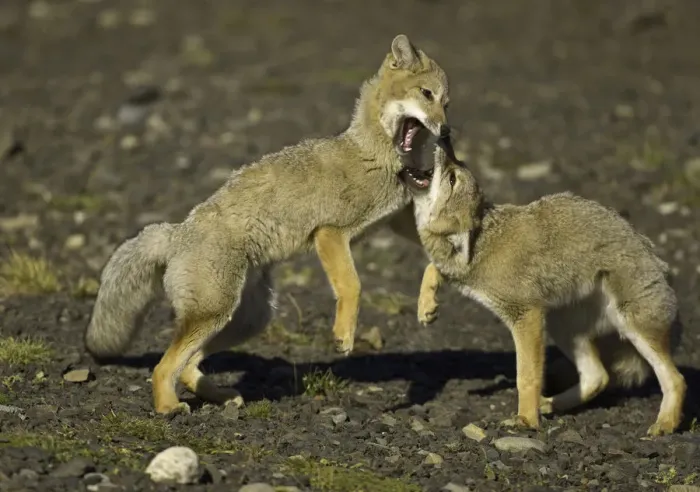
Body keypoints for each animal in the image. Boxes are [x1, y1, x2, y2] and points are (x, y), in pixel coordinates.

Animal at [83, 34, 451, 416]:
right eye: (426, 94)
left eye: (447, 103)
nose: (446, 130)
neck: (375, 155)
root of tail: (177, 231)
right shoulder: (330, 233)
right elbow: (353, 286)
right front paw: (344, 335)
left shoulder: (398, 223)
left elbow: (437, 256)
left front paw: (428, 303)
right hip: (216, 314)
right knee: (163, 367)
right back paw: (169, 408)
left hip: (245, 321)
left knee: (187, 366)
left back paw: (222, 397)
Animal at [410, 149, 687, 436]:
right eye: (457, 166)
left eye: (453, 176)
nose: (446, 143)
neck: (484, 244)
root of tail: (657, 259)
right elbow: (432, 267)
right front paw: (426, 306)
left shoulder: (526, 314)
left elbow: (527, 376)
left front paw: (525, 421)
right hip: (561, 326)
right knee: (598, 377)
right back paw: (551, 405)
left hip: (631, 326)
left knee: (676, 379)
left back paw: (665, 424)